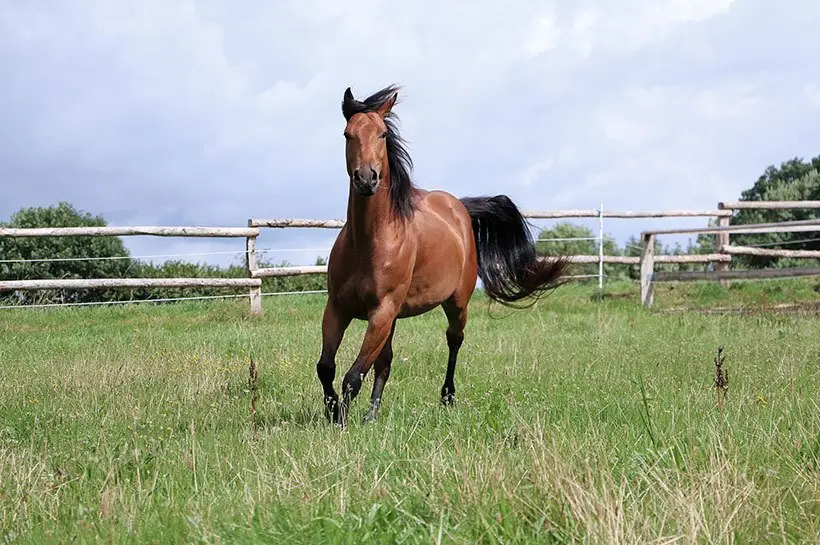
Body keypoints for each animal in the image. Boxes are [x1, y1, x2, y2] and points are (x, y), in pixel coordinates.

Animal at [316, 85, 570, 427]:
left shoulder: (381, 311)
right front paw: (333, 412)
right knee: (385, 361)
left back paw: (447, 397)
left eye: (383, 134)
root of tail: (459, 207)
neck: (369, 242)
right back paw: (372, 414)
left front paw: (340, 420)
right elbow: (326, 367)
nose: (366, 178)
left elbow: (353, 376)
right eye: (347, 134)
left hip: (456, 303)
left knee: (454, 340)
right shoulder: (340, 308)